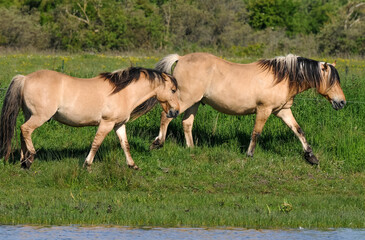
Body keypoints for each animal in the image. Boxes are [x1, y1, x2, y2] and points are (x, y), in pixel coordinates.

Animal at [0, 66, 179, 170]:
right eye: (173, 90)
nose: (175, 112)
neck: (123, 92)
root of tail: (25, 78)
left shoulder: (119, 125)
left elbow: (125, 145)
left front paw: (132, 165)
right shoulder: (106, 123)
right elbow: (96, 143)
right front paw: (87, 164)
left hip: (29, 114)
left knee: (23, 133)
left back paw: (24, 162)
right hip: (39, 116)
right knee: (25, 129)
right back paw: (30, 158)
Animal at [150, 53, 344, 165]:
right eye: (332, 81)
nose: (342, 102)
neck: (281, 78)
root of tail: (181, 58)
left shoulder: (282, 111)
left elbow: (298, 131)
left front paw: (311, 156)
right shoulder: (264, 110)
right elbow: (256, 133)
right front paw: (249, 154)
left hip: (195, 102)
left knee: (187, 123)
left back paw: (191, 149)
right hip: (185, 100)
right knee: (166, 116)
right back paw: (158, 143)